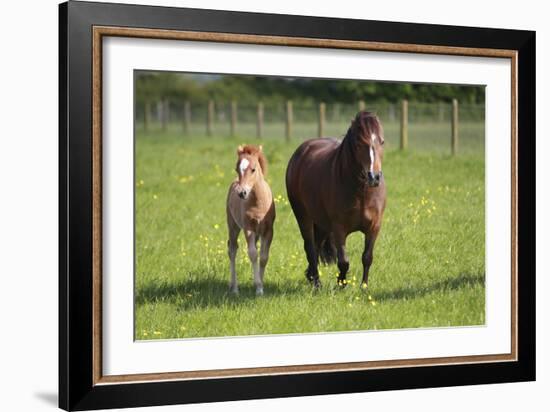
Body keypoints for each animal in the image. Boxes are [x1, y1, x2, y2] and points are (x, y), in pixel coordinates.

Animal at [226, 145, 276, 296]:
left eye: (253, 169)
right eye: (237, 169)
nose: (242, 193)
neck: (258, 203)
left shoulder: (268, 231)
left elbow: (264, 257)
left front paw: (261, 284)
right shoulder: (248, 229)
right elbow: (253, 254)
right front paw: (258, 287)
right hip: (233, 226)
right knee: (232, 249)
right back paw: (234, 288)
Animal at [286, 111, 386, 288]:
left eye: (382, 141)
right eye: (359, 144)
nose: (374, 177)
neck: (361, 192)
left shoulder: (374, 226)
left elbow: (367, 257)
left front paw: (364, 286)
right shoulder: (339, 228)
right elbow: (344, 261)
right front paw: (341, 284)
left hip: (322, 223)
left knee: (316, 246)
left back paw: (311, 276)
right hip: (303, 217)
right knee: (310, 248)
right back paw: (316, 283)